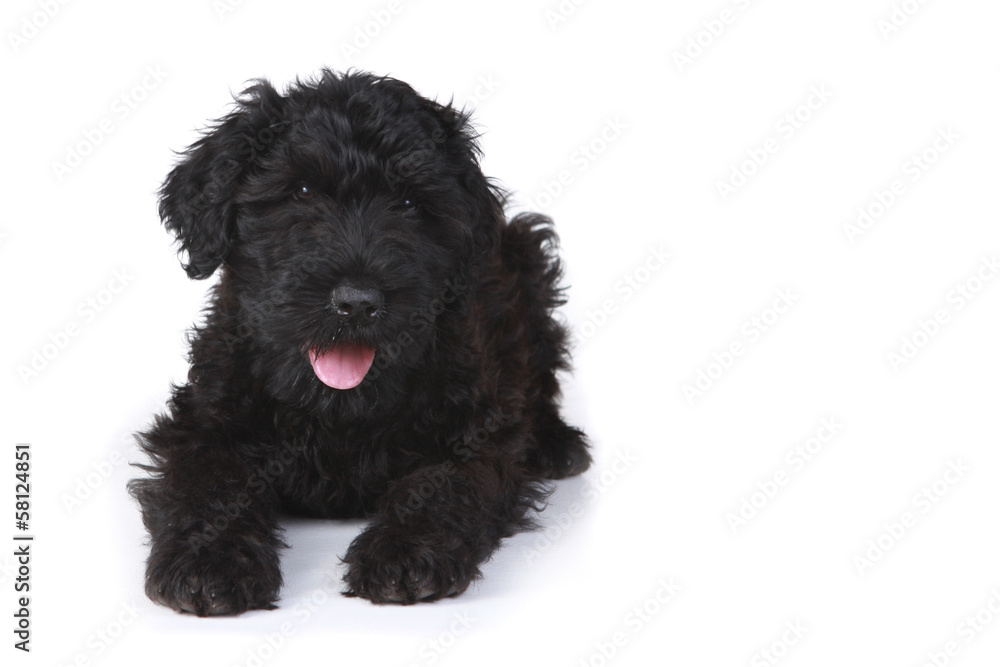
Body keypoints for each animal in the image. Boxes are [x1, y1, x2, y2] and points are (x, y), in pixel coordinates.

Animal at [129, 69, 588, 616]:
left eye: (409, 203)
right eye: (302, 191)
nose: (358, 302)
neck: (339, 411)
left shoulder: (475, 431)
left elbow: (439, 485)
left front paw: (402, 553)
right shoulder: (203, 422)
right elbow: (209, 485)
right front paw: (209, 562)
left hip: (529, 261)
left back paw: (557, 443)